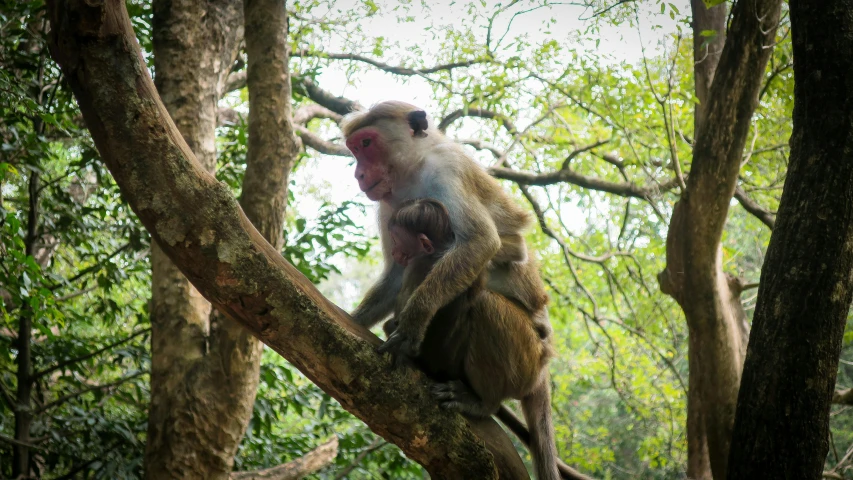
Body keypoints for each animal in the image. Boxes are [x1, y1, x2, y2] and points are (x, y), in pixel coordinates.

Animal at [380, 198, 560, 480]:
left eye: (398, 241)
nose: (396, 254)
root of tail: (543, 364)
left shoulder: (419, 264)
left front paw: (408, 327)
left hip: (526, 359)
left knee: (486, 305)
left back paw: (484, 404)